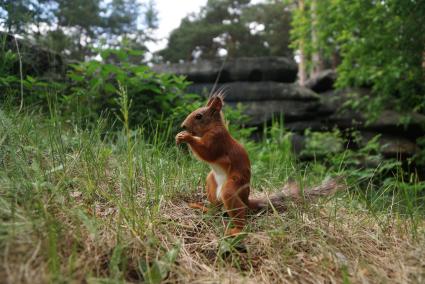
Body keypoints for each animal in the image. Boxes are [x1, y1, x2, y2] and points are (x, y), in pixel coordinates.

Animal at [176, 92, 342, 235]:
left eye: (199, 116)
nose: (183, 126)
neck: (212, 128)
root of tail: (246, 199)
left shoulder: (218, 140)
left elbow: (208, 153)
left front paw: (186, 137)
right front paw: (180, 136)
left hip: (232, 187)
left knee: (239, 209)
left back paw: (236, 230)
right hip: (211, 181)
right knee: (216, 208)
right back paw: (204, 209)